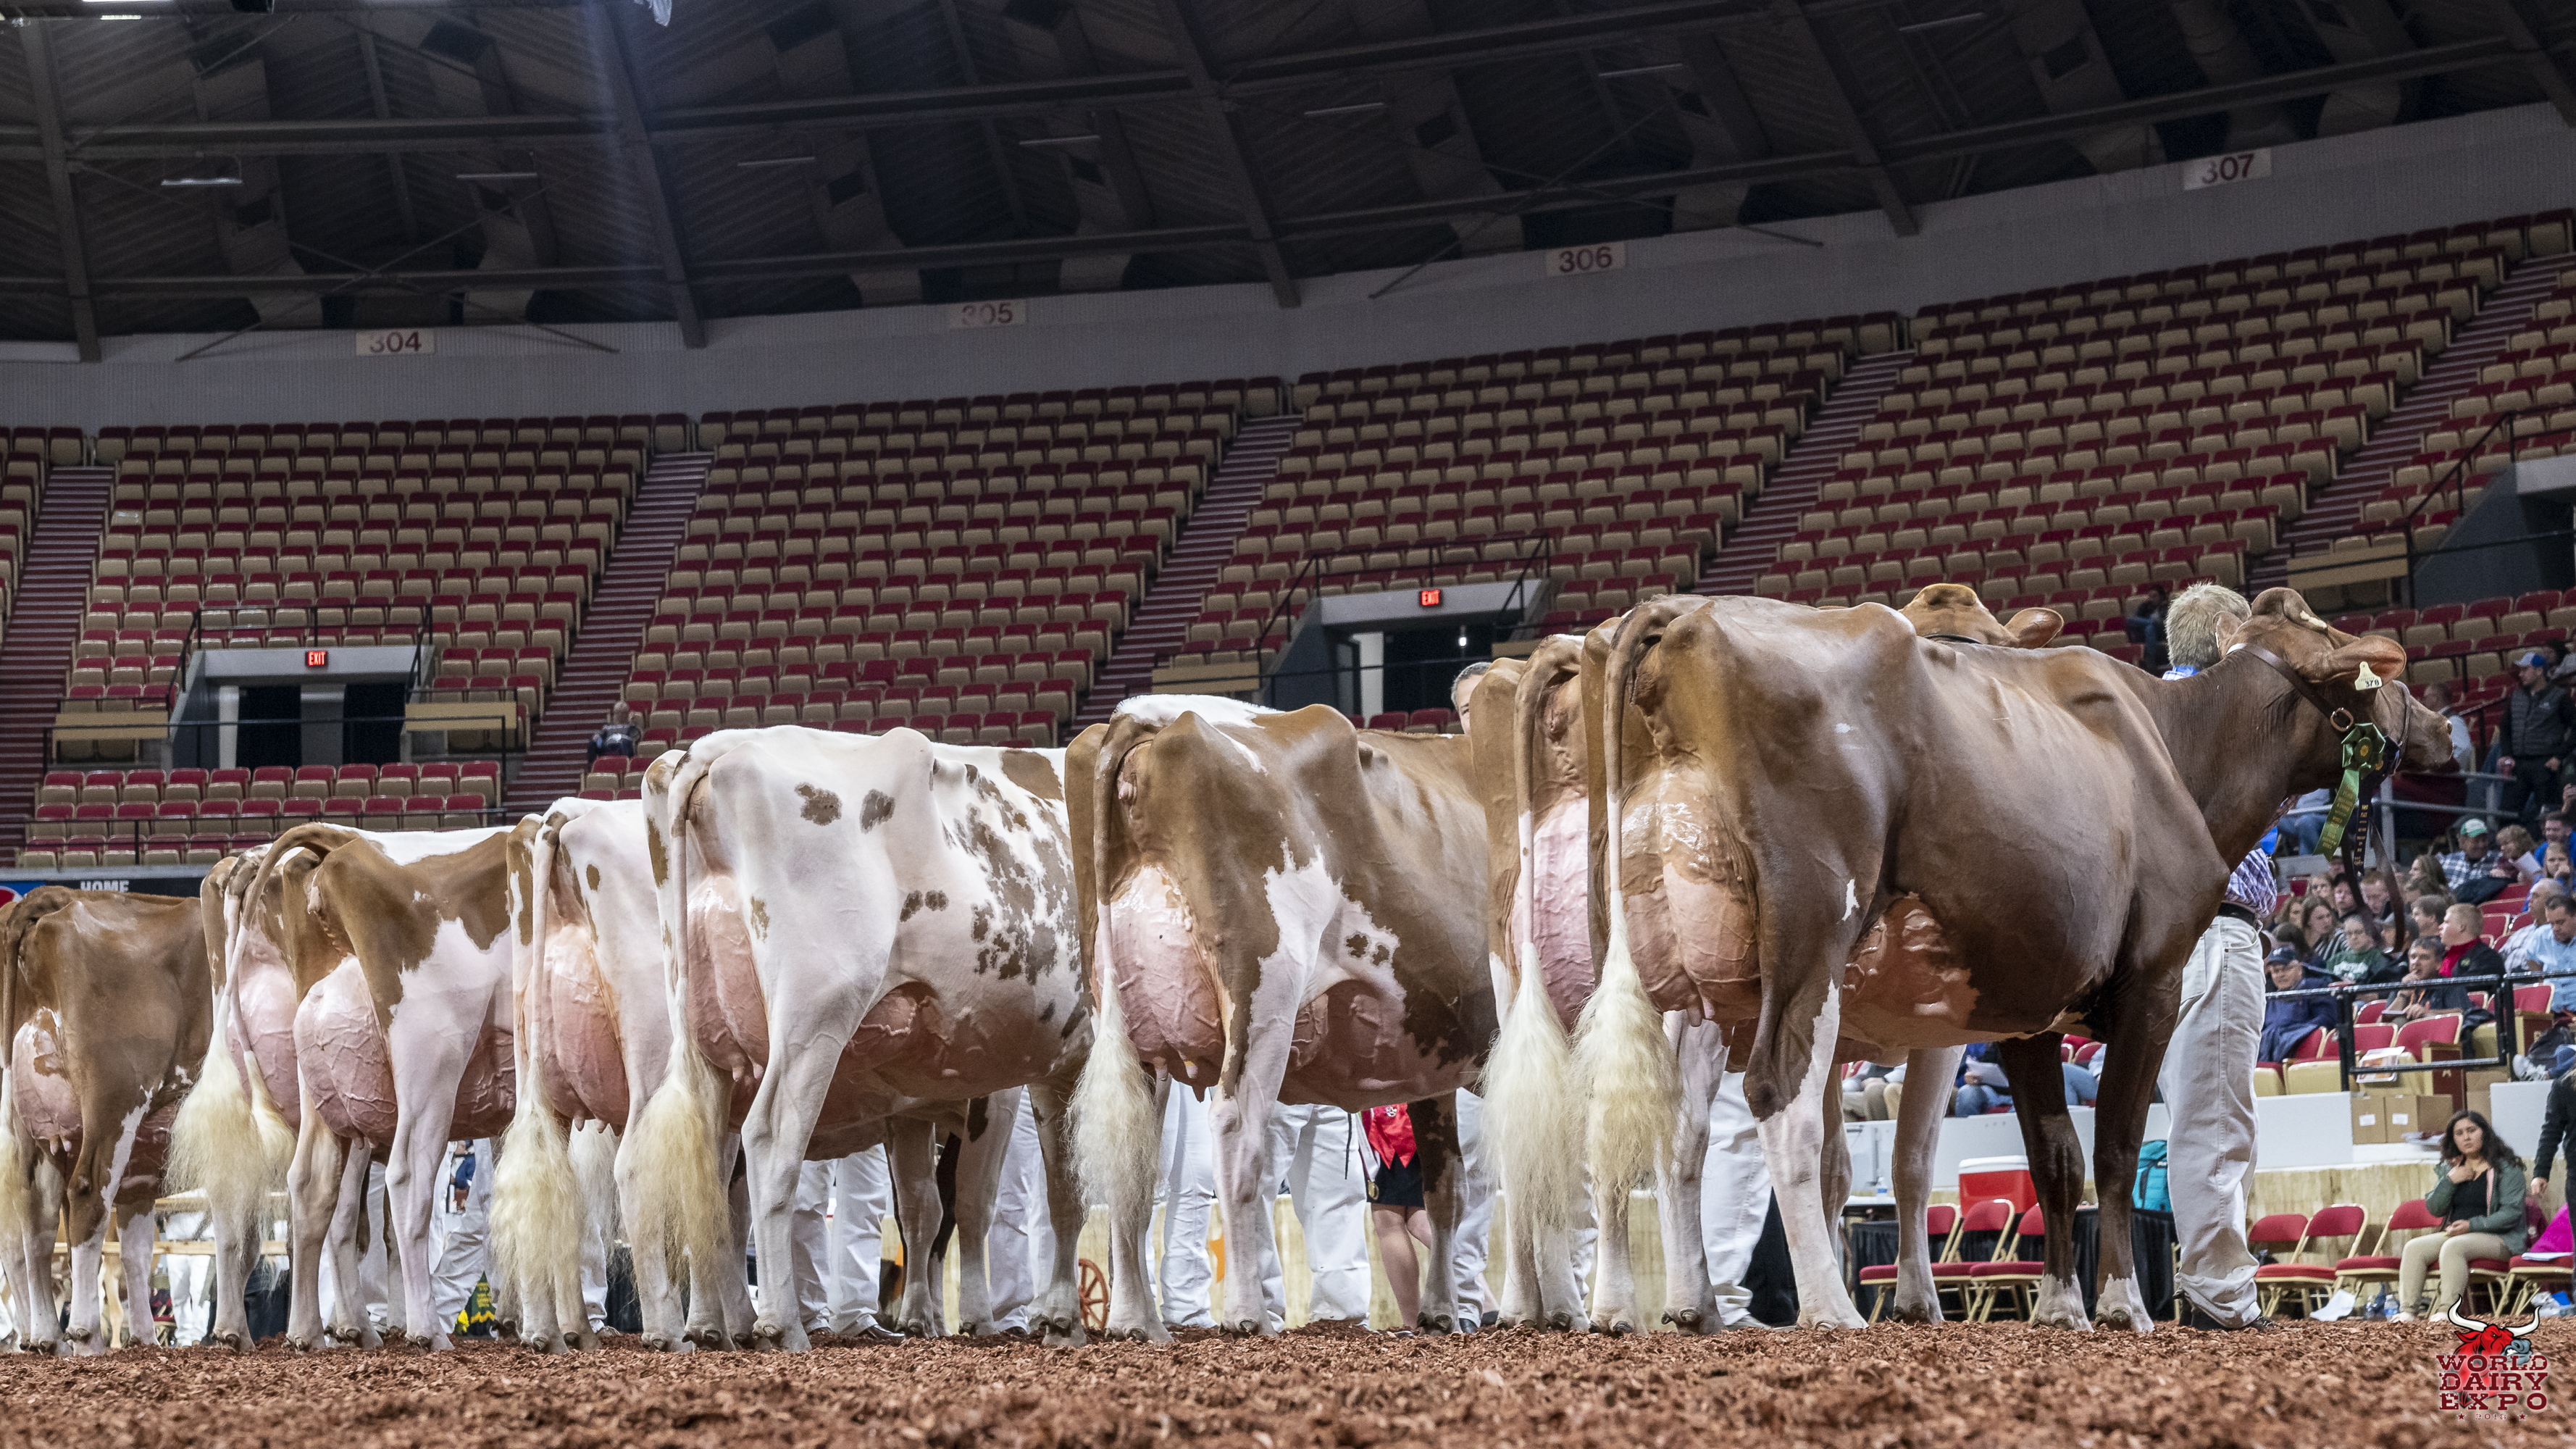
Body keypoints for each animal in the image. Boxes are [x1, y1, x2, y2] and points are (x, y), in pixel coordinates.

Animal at [0, 887, 208, 1353]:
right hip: (116, 1100)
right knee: (86, 1194)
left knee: (35, 1224)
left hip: (35, 1130)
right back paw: (84, 1333)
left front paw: (145, 1339)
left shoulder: (143, 1168)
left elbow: (136, 1251)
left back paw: (46, 1336)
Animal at [622, 726, 1094, 1353]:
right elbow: (985, 1197)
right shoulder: (1009, 1082)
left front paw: (924, 1317)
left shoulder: (921, 1107)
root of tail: (719, 746)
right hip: (814, 1015)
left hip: (701, 1043)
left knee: (681, 1169)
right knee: (768, 1140)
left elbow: (924, 1206)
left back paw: (695, 1327)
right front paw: (992, 1317)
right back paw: (779, 1323)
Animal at [1068, 696, 1494, 1340]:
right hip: (1266, 985)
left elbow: (1446, 1185)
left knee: (1130, 1151)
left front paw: (1442, 1311)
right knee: (1237, 1130)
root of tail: (1149, 714)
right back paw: (1245, 1313)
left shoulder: (1432, 1064)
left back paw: (1135, 1320)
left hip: (1123, 1022)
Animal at [1474, 584, 2064, 1333]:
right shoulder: (1934, 1029)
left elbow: (1839, 1163)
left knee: (1578, 1134)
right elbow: (1909, 1157)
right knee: (1674, 1134)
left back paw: (1575, 1304)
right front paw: (1913, 1300)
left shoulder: (1840, 1031)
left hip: (1563, 984)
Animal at [1574, 585, 2448, 1328]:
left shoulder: (2030, 1001)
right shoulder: (2154, 979)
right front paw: (2123, 1303)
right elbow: (2116, 1144)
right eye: (2367, 666)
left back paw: (1678, 1306)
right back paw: (1829, 1306)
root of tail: (1686, 617)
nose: (2440, 727)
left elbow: (2055, 1155)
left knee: (1654, 1124)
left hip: (1676, 971)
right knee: (1776, 1096)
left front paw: (2060, 1306)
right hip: (1812, 930)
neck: (2173, 750)